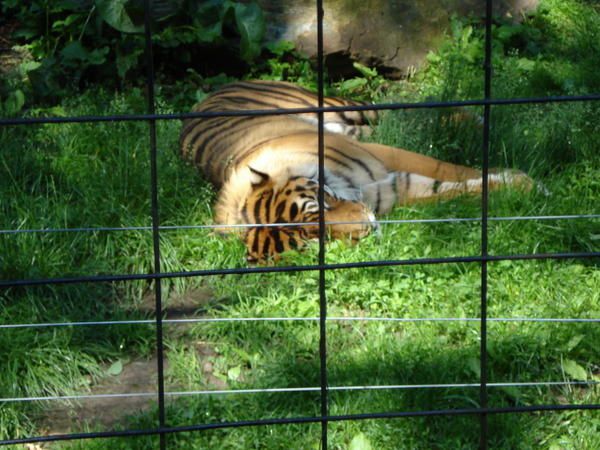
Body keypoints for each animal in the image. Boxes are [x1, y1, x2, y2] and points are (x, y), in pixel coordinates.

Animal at [177, 81, 528, 264]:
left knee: (398, 111)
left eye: (319, 206)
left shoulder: (385, 157)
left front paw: (523, 180)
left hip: (336, 105)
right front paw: (514, 182)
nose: (368, 226)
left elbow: (446, 167)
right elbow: (449, 190)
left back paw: (478, 119)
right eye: (318, 239)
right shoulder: (393, 189)